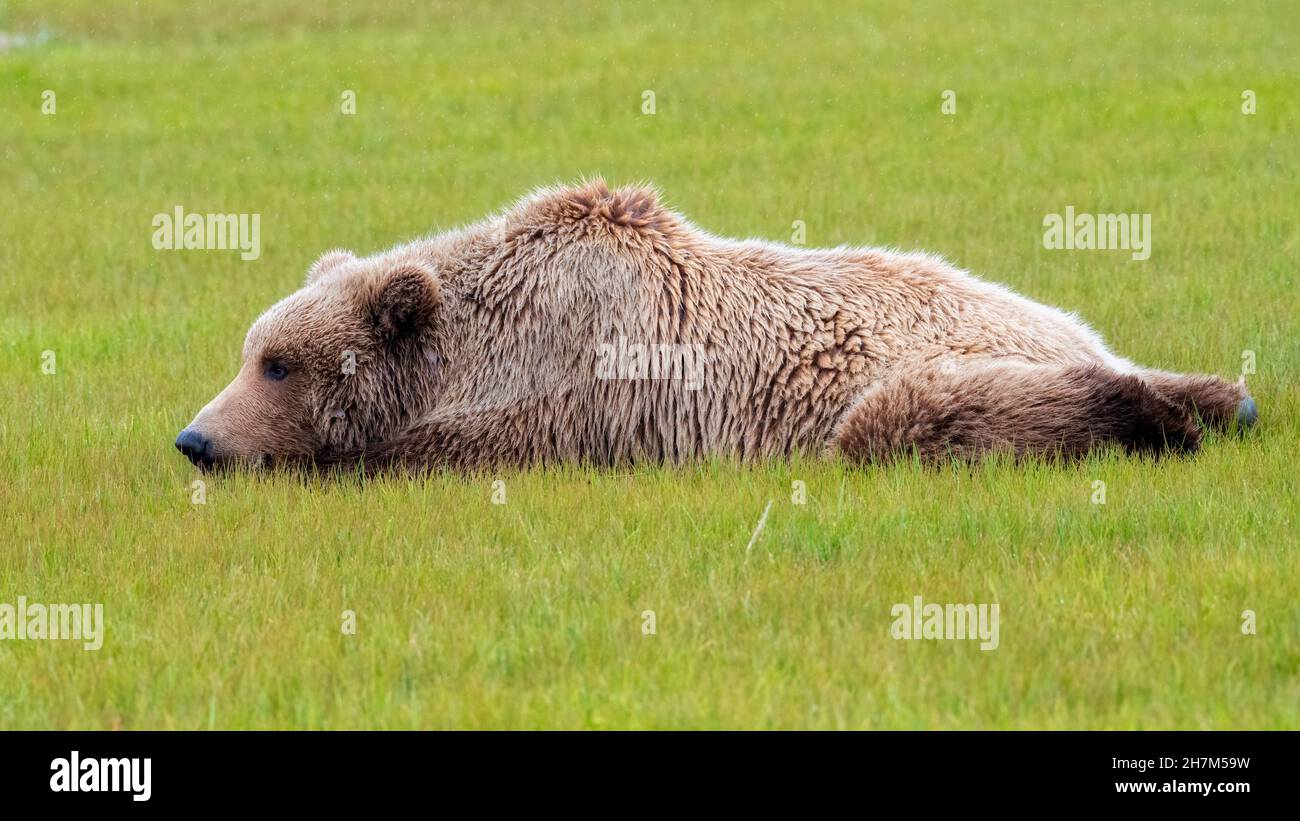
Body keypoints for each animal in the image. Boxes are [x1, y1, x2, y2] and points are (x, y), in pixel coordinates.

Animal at [175, 181, 1258, 470]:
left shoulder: (579, 391)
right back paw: (1220, 396)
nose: (196, 437)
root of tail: (1072, 328)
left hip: (913, 370)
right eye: (252, 350)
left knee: (910, 420)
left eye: (278, 364)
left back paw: (1166, 410)